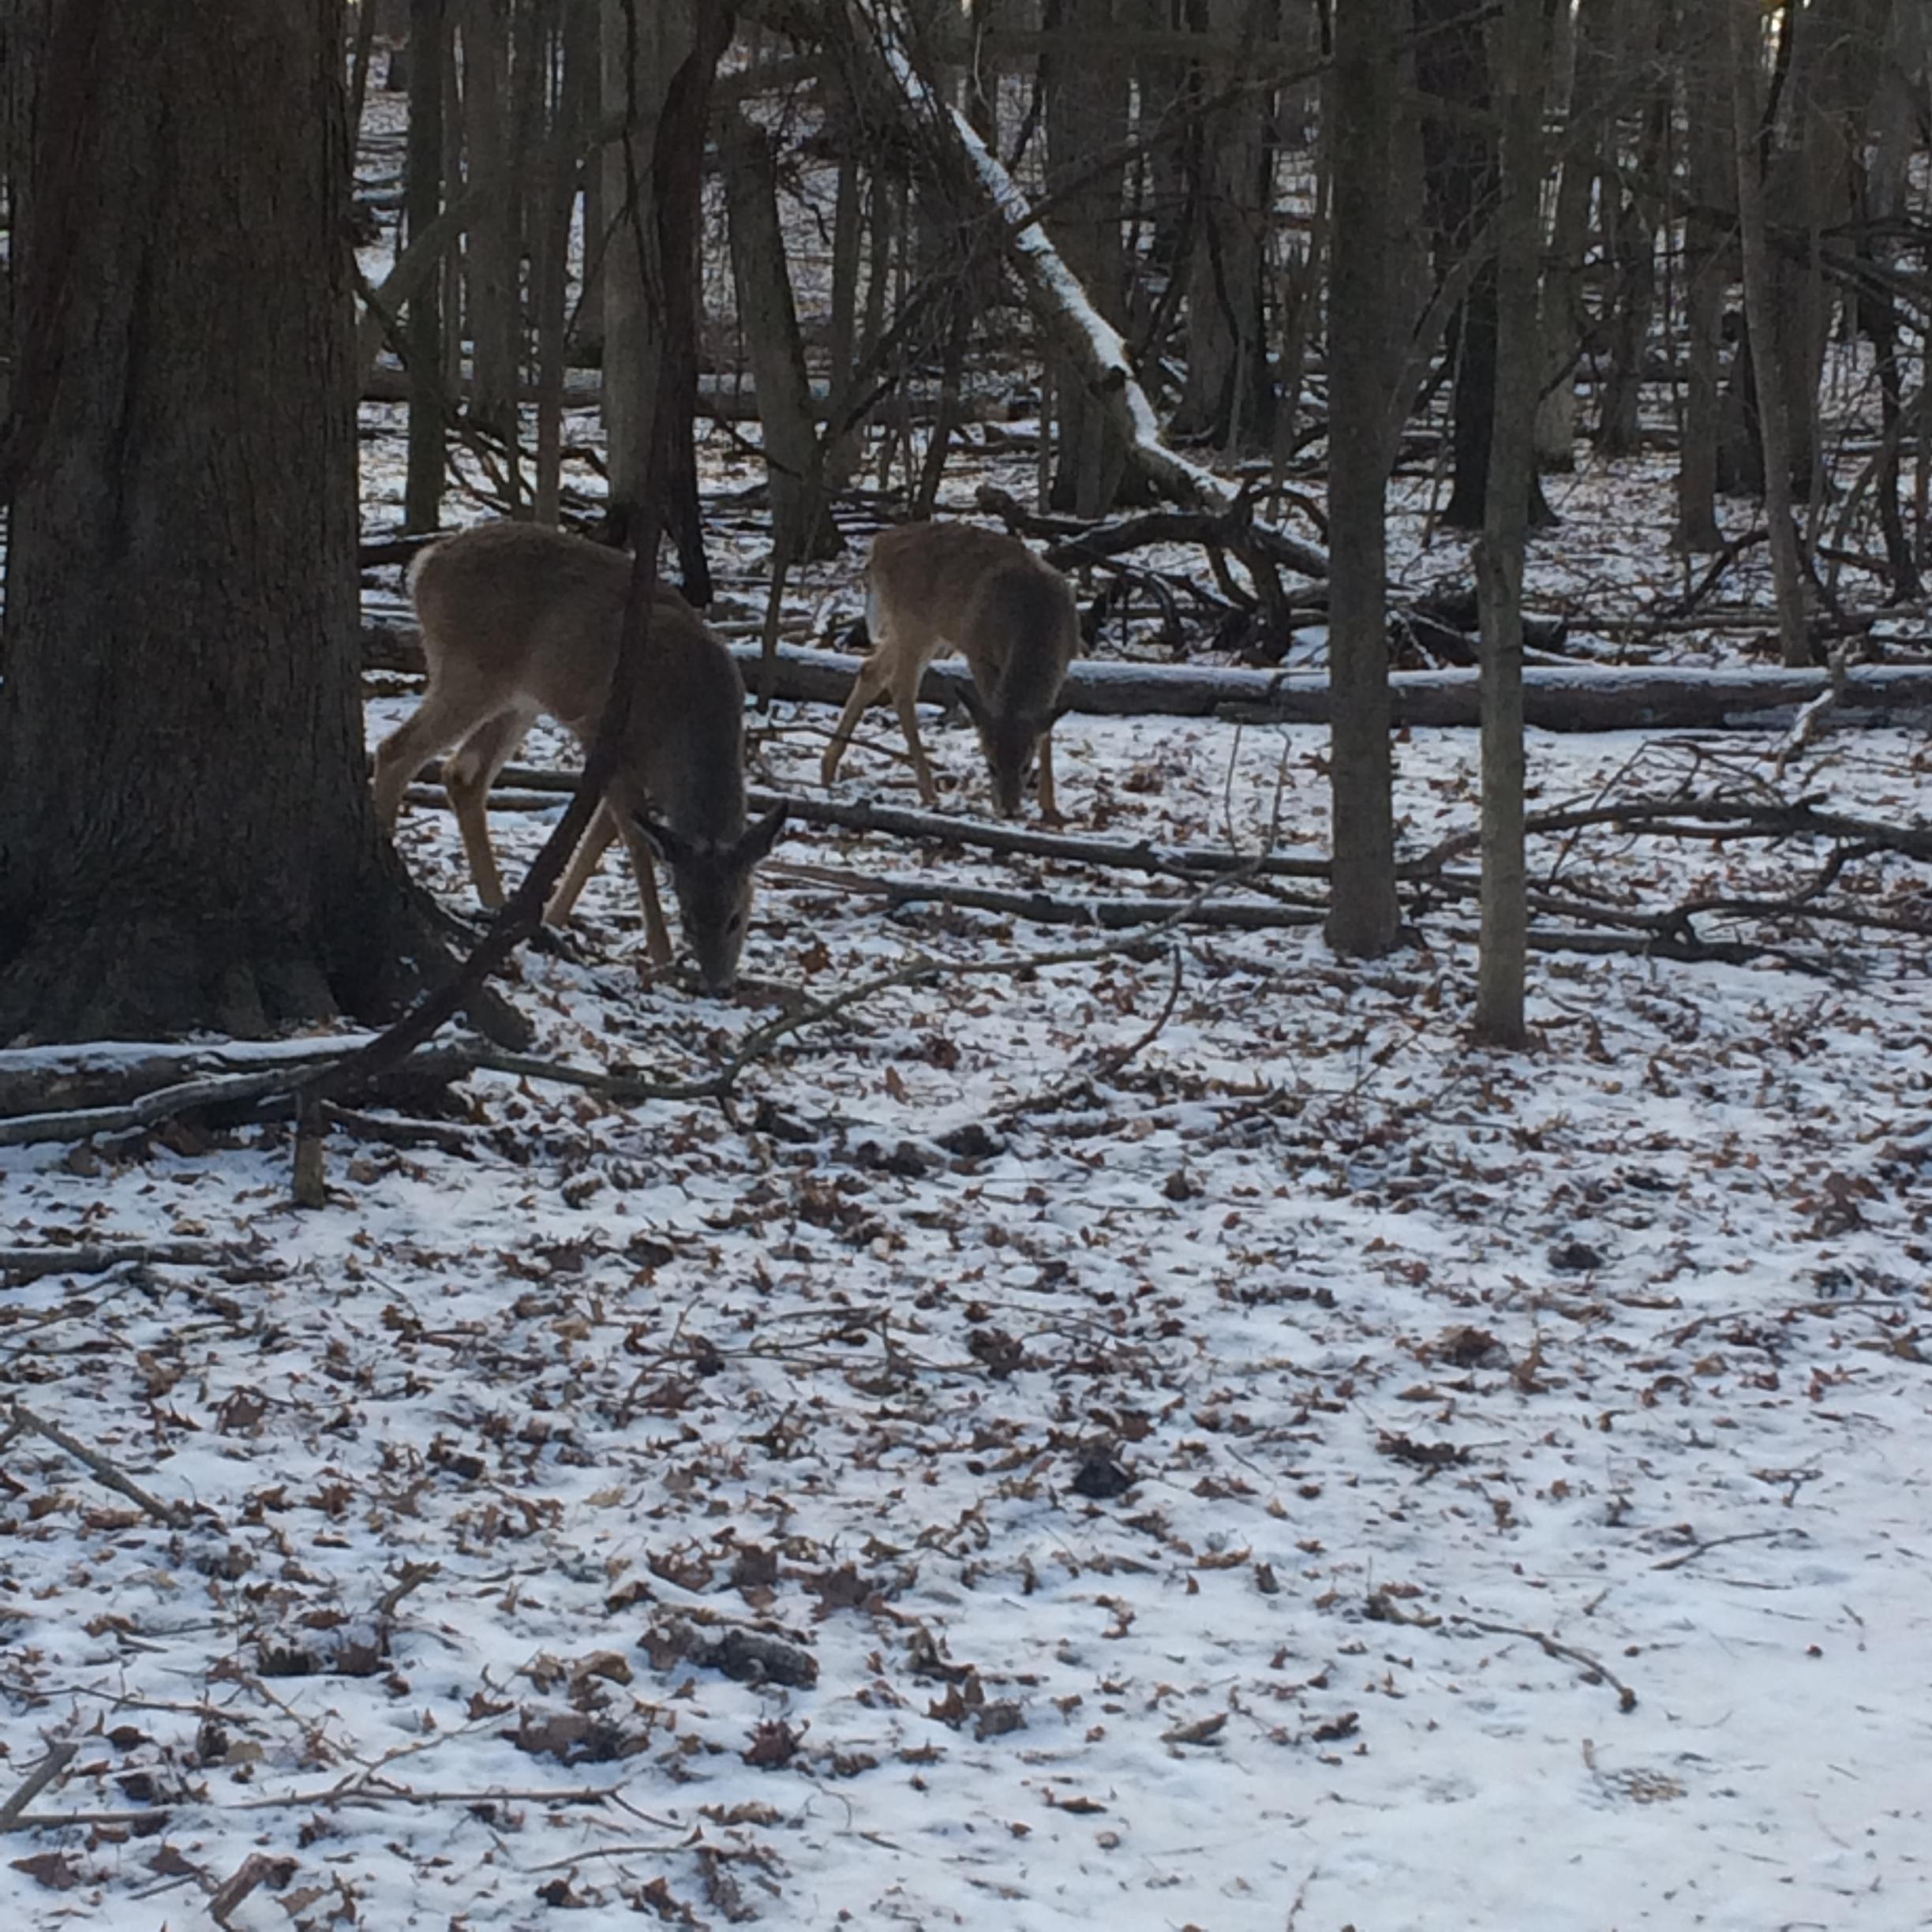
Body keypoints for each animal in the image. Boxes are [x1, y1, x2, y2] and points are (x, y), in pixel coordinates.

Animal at [369, 521, 786, 994]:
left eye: (737, 917)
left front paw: (553, 918)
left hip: (520, 697)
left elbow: (603, 832)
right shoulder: (602, 735)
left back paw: (496, 906)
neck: (683, 722)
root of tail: (425, 564)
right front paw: (661, 958)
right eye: (689, 918)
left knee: (463, 773)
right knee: (397, 750)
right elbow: (633, 840)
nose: (719, 984)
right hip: (468, 670)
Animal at [820, 522, 1080, 819]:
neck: (1036, 620)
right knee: (901, 687)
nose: (1009, 810)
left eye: (1026, 767)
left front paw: (1050, 806)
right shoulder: (980, 653)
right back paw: (928, 791)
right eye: (990, 764)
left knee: (871, 670)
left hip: (919, 630)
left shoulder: (1066, 659)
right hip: (914, 622)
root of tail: (878, 544)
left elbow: (1046, 729)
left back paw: (827, 768)